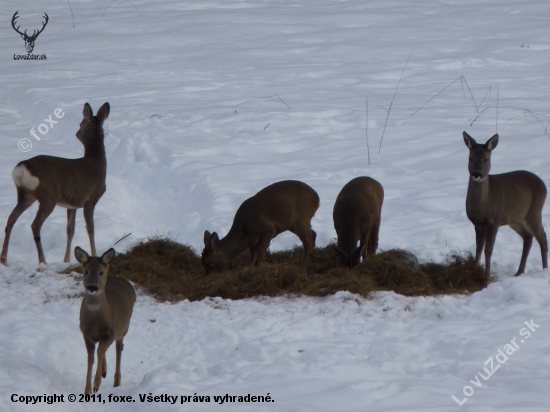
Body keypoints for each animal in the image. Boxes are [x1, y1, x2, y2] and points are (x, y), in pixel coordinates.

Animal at [0, 102, 111, 264]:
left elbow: (70, 230)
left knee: (11, 219)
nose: (76, 133)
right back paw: (42, 261)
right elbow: (90, 228)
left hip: (26, 195)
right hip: (48, 196)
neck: (97, 162)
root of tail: (22, 167)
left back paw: (4, 259)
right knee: (35, 224)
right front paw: (94, 254)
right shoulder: (91, 198)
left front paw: (66, 260)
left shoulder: (72, 204)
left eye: (80, 124)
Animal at [75, 246, 137, 394]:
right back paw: (104, 371)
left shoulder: (110, 332)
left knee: (118, 349)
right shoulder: (86, 334)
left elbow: (100, 351)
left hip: (123, 328)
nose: (92, 287)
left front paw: (96, 385)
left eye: (101, 272)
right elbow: (91, 358)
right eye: (86, 271)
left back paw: (116, 381)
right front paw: (87, 391)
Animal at [466, 131, 548, 284]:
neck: (483, 203)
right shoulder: (478, 223)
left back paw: (545, 269)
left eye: (486, 159)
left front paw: (486, 280)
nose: (476, 174)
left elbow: (488, 250)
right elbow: (478, 248)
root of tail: (544, 185)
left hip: (534, 212)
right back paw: (519, 272)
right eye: (471, 158)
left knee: (542, 237)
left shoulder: (495, 220)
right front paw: (473, 272)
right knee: (528, 237)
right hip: (516, 219)